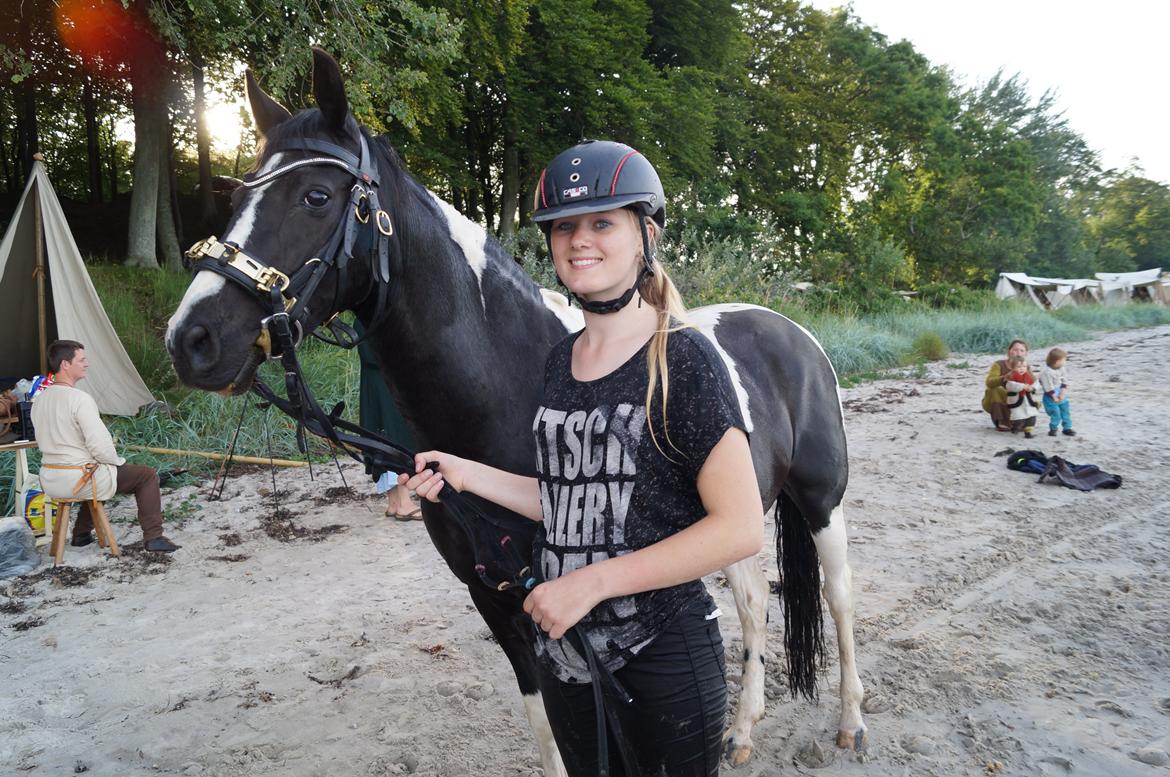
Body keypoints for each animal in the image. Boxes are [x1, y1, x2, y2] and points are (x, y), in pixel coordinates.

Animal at [166, 48, 866, 773]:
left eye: (316, 197)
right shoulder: (500, 601)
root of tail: (789, 330)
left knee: (840, 598)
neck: (509, 389)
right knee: (754, 602)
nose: (191, 340)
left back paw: (849, 721)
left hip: (821, 501)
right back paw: (743, 729)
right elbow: (547, 724)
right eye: (238, 198)